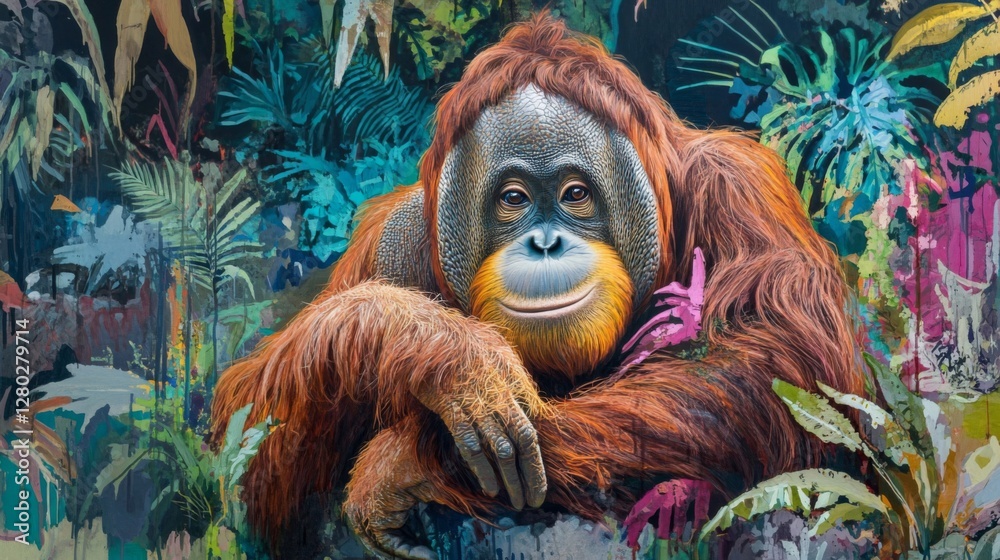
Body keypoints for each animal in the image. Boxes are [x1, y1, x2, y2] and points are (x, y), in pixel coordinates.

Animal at [210, 14, 864, 559]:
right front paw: (447, 356)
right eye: (513, 198)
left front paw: (403, 461)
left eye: (575, 193)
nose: (545, 242)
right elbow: (258, 468)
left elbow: (784, 363)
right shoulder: (394, 236)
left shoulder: (740, 185)